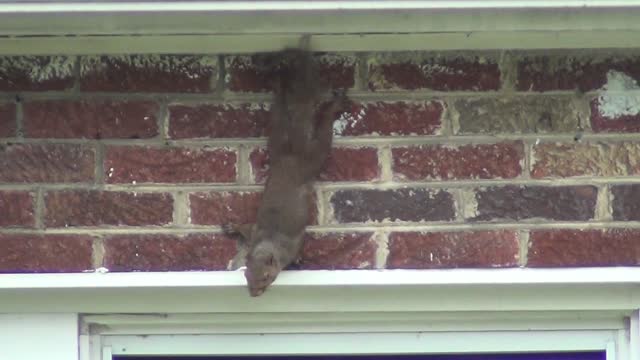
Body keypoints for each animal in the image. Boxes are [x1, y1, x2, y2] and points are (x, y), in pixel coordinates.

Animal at [224, 36, 350, 296]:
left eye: (266, 278)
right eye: (246, 275)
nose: (254, 295)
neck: (269, 242)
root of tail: (291, 156)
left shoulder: (291, 245)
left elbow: (297, 250)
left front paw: (299, 261)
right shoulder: (255, 232)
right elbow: (245, 227)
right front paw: (231, 226)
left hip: (314, 153)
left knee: (323, 131)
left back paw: (334, 105)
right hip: (277, 131)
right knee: (281, 101)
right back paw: (278, 83)